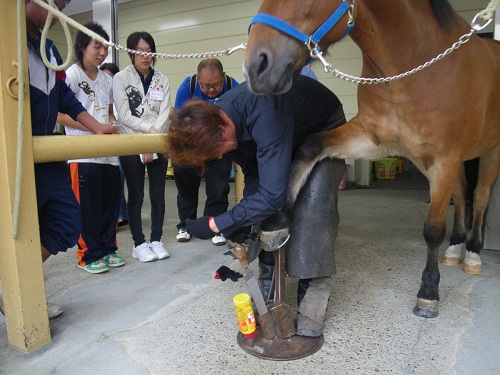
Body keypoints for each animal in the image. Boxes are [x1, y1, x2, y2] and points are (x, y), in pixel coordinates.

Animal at [242, 0, 500, 320]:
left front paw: (428, 293)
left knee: (480, 196)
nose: (256, 66)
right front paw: (276, 224)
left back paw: (473, 255)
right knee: (463, 196)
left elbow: (432, 230)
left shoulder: (444, 160)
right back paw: (454, 250)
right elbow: (309, 147)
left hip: (489, 152)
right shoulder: (370, 139)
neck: (415, 68)